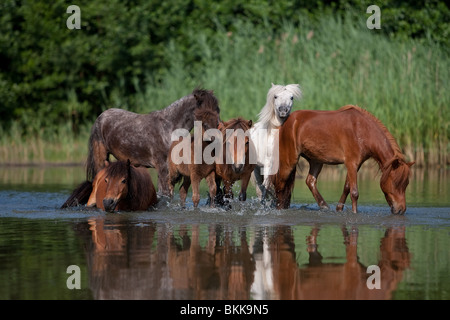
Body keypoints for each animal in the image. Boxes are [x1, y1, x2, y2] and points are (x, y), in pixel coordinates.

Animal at [85, 87, 220, 199]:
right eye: (204, 111)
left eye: (217, 109)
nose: (216, 134)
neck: (168, 128)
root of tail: (100, 117)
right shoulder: (163, 168)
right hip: (100, 158)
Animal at [272, 105, 414, 215]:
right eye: (395, 183)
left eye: (406, 183)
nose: (401, 210)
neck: (362, 130)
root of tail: (287, 122)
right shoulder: (351, 163)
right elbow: (354, 192)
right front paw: (355, 213)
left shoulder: (356, 165)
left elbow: (346, 187)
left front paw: (339, 208)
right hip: (289, 161)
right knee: (280, 185)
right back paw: (278, 209)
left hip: (316, 160)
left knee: (310, 181)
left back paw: (324, 206)